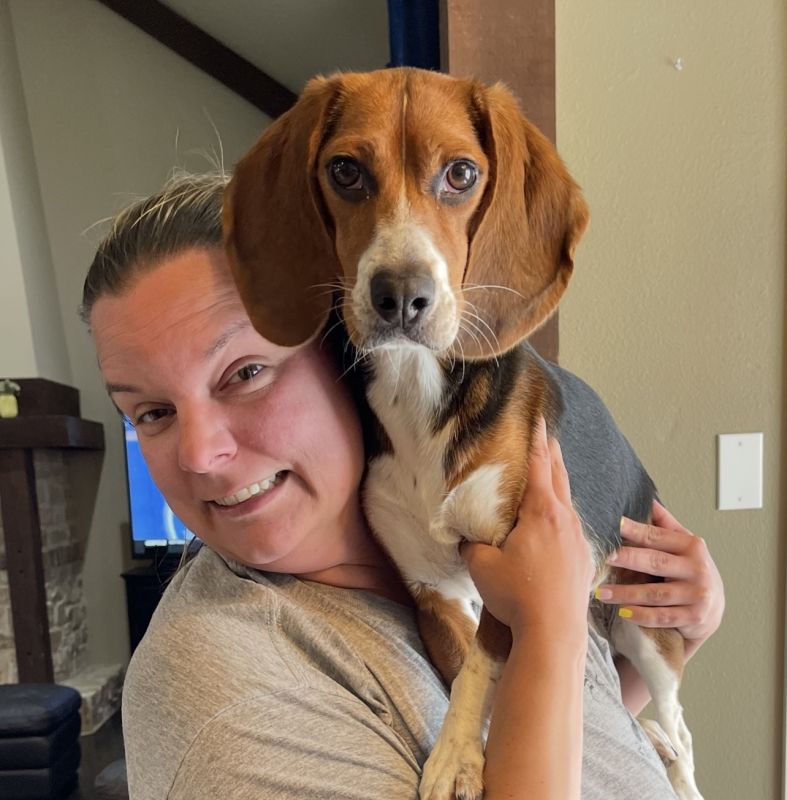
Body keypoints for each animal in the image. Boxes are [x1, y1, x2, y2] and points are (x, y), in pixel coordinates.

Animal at [222, 69, 700, 800]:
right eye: (344, 170)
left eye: (460, 174)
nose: (399, 295)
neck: (417, 392)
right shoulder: (434, 588)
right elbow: (462, 669)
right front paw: (468, 753)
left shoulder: (511, 563)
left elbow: (482, 665)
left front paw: (453, 757)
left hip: (649, 629)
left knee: (679, 730)